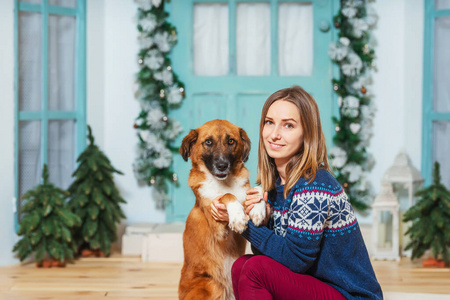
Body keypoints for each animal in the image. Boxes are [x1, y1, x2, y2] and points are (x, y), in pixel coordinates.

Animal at [178, 120, 266, 300]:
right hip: (213, 285)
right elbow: (226, 195)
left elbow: (258, 189)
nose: (222, 165)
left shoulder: (246, 192)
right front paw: (238, 217)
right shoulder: (218, 226)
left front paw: (258, 211)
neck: (225, 182)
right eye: (208, 142)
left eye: (231, 141)